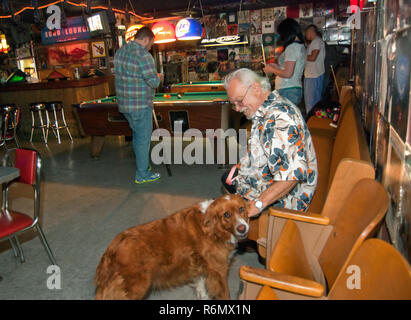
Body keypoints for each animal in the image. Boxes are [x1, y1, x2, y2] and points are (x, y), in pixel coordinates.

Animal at [95, 194, 249, 302]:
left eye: (241, 209)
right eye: (226, 215)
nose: (243, 228)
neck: (214, 229)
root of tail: (112, 249)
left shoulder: (201, 269)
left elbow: (202, 290)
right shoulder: (219, 271)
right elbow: (225, 294)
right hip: (135, 288)